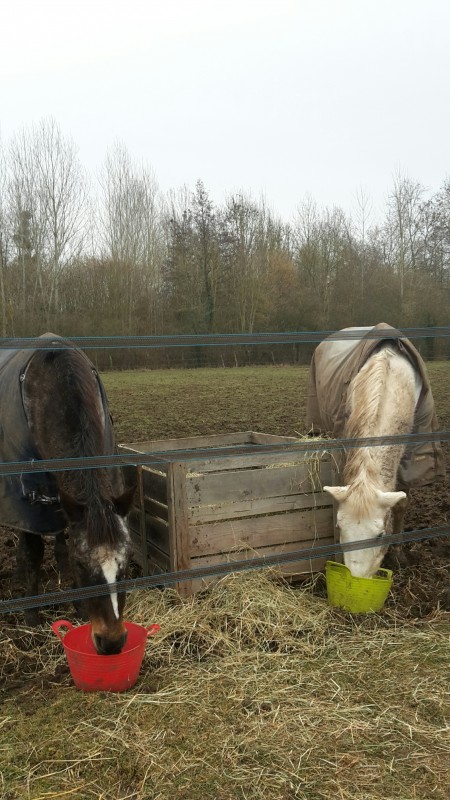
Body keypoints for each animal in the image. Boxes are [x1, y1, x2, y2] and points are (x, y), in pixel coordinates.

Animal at [0, 334, 134, 652]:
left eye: (126, 562)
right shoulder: (29, 509)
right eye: (81, 564)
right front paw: (31, 615)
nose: (112, 642)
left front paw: (79, 606)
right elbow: (33, 552)